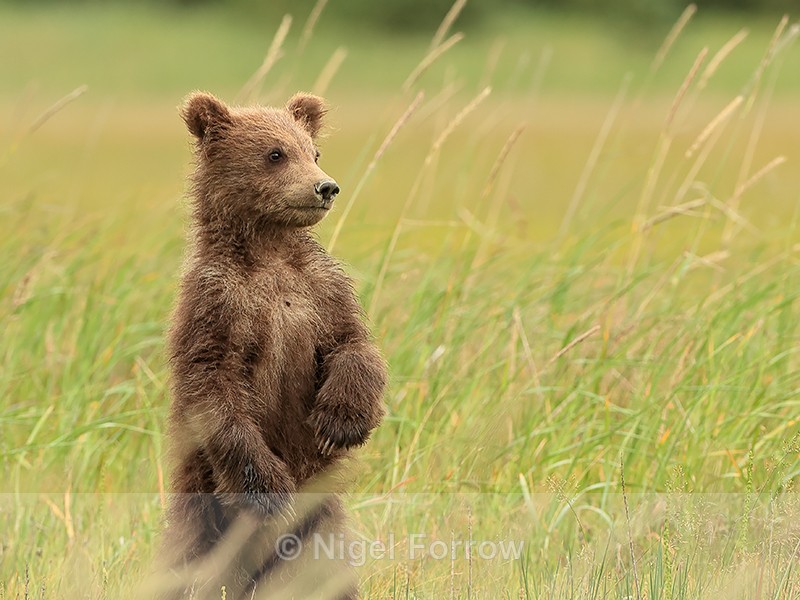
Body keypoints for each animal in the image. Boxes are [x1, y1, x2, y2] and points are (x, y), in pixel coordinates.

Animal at [153, 91, 387, 600]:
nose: (326, 187)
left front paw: (339, 422)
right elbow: (215, 388)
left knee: (325, 569)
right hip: (205, 512)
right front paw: (269, 486)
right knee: (191, 561)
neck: (269, 251)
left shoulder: (320, 290)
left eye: (313, 150)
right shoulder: (216, 304)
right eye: (275, 153)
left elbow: (354, 345)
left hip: (320, 521)